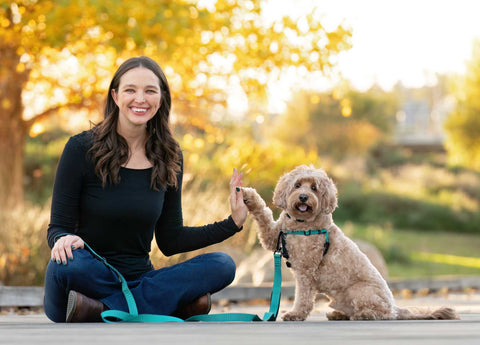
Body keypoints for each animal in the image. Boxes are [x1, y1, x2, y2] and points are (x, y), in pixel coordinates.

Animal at [242, 165, 460, 322]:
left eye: (314, 188)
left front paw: (295, 314)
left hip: (360, 291)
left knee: (383, 314)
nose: (303, 197)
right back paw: (339, 314)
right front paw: (247, 195)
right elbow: (263, 214)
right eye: (297, 185)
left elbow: (303, 297)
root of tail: (395, 306)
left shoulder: (307, 272)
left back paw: (363, 315)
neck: (301, 223)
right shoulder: (274, 236)